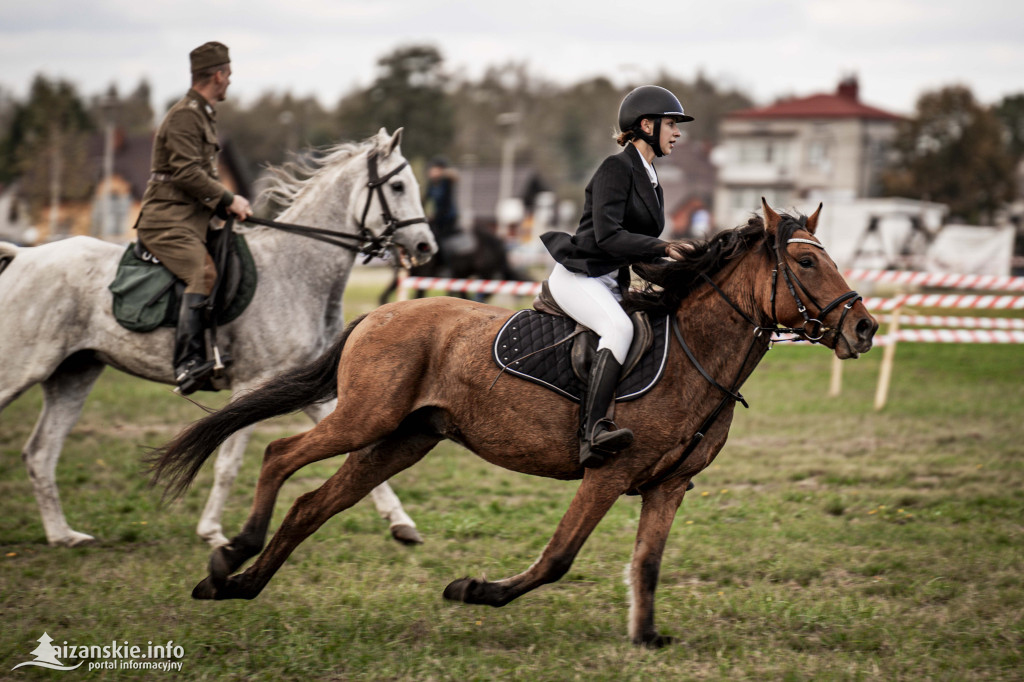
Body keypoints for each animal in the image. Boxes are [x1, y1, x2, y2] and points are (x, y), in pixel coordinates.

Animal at [0, 127, 436, 548]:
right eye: (398, 186)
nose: (426, 246)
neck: (296, 271)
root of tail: (24, 256)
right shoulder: (253, 384)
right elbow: (228, 463)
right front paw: (211, 531)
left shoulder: (310, 390)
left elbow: (360, 453)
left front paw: (401, 523)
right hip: (22, 370)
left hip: (74, 374)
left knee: (40, 453)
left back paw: (63, 535)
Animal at [149, 199, 872, 647]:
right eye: (806, 262)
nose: (864, 328)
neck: (696, 352)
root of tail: (378, 314)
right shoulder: (609, 472)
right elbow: (558, 558)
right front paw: (474, 591)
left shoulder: (669, 487)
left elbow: (647, 564)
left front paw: (645, 638)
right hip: (363, 417)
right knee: (280, 454)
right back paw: (231, 554)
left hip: (402, 440)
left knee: (313, 505)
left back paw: (235, 586)